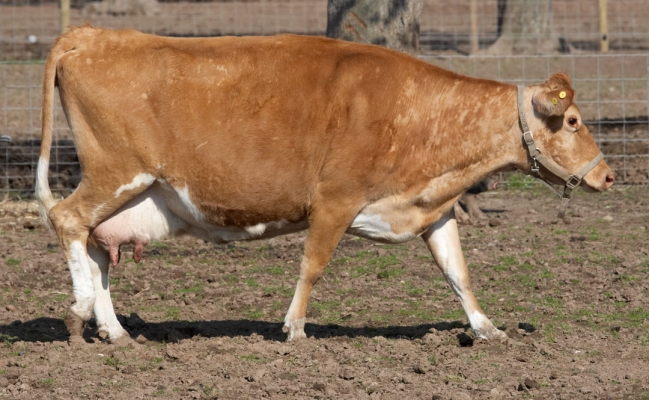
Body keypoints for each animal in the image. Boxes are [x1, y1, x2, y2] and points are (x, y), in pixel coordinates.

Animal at [36, 26, 614, 345]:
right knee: (66, 219)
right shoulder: (335, 200)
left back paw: (114, 330)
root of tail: (91, 34)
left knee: (96, 248)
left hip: (130, 192)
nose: (607, 175)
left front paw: (487, 328)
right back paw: (80, 311)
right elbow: (312, 265)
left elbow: (458, 273)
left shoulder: (435, 208)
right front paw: (293, 328)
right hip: (115, 173)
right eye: (573, 121)